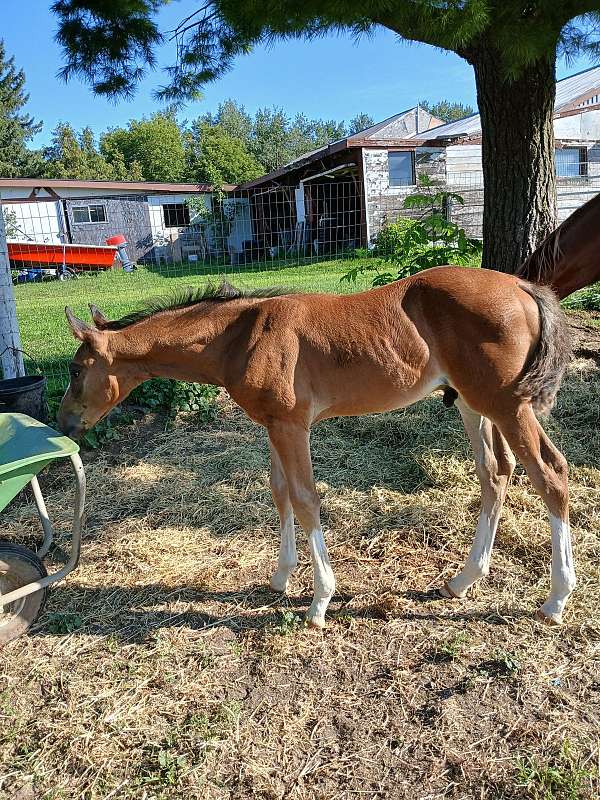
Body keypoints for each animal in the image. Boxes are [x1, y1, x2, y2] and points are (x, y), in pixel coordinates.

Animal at [57, 267, 575, 628]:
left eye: (76, 370)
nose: (65, 422)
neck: (243, 337)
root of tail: (522, 287)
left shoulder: (293, 425)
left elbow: (306, 498)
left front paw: (320, 599)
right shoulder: (273, 426)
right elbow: (279, 491)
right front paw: (281, 577)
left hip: (507, 404)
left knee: (550, 472)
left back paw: (555, 599)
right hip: (472, 404)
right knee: (496, 473)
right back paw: (464, 579)